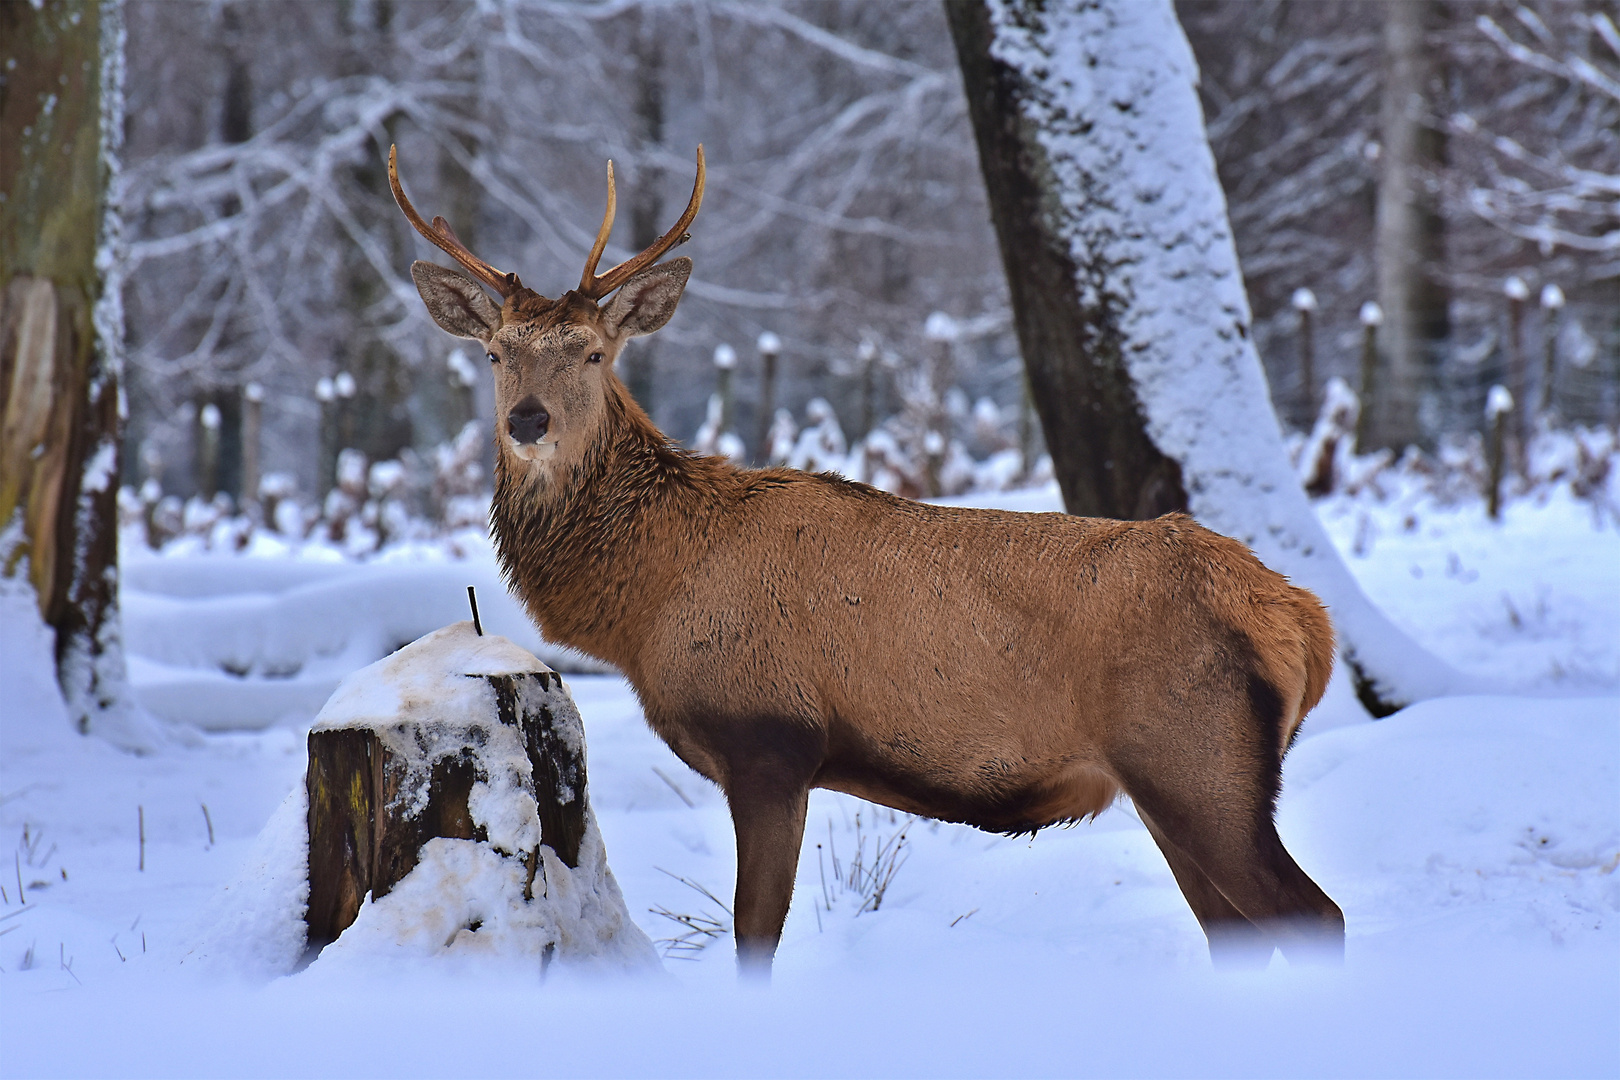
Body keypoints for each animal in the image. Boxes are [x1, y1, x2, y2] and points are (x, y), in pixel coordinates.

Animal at [388, 145, 1341, 977]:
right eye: (496, 353)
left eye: (592, 351)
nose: (530, 421)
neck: (646, 608)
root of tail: (1304, 621)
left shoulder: (770, 738)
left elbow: (755, 935)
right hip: (1175, 781)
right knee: (1237, 931)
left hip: (1197, 758)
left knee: (1315, 914)